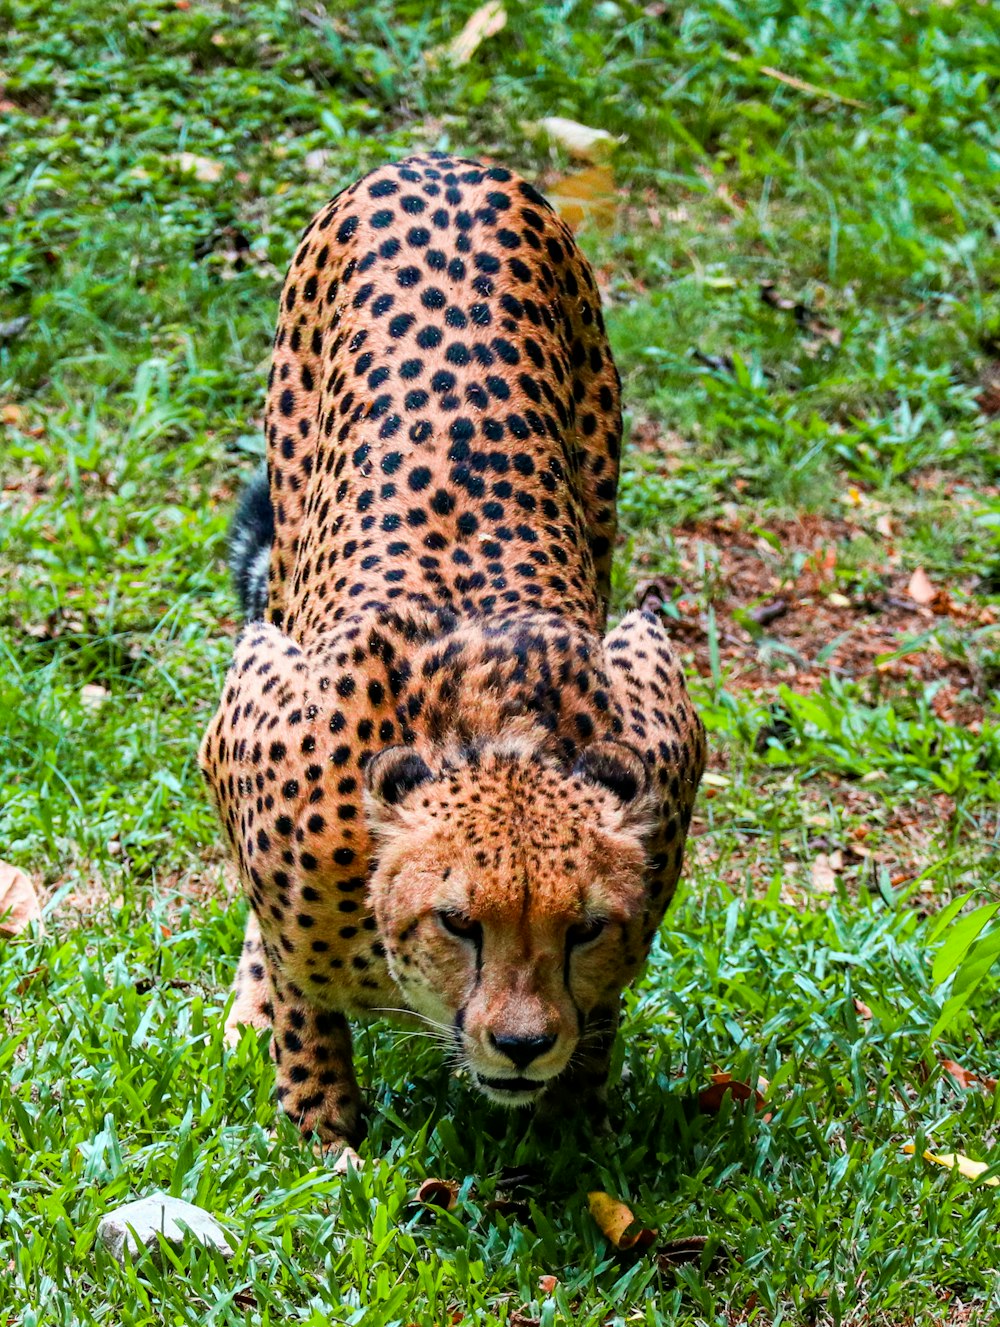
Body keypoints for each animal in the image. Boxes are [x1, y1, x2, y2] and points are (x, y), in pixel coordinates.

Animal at [198, 152, 705, 1151]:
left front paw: (572, 1132)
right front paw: (322, 1132)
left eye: (586, 928)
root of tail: (441, 159)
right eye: (459, 922)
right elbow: (295, 980)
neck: (495, 732)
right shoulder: (247, 722)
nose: (522, 1043)